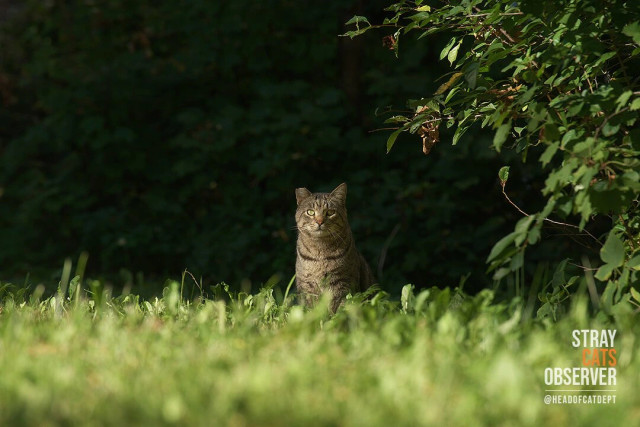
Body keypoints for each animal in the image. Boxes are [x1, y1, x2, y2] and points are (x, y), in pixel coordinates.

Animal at [296, 182, 376, 312]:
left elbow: (338, 308)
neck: (320, 250)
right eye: (310, 212)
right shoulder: (306, 285)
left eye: (330, 212)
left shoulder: (342, 284)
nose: (319, 221)